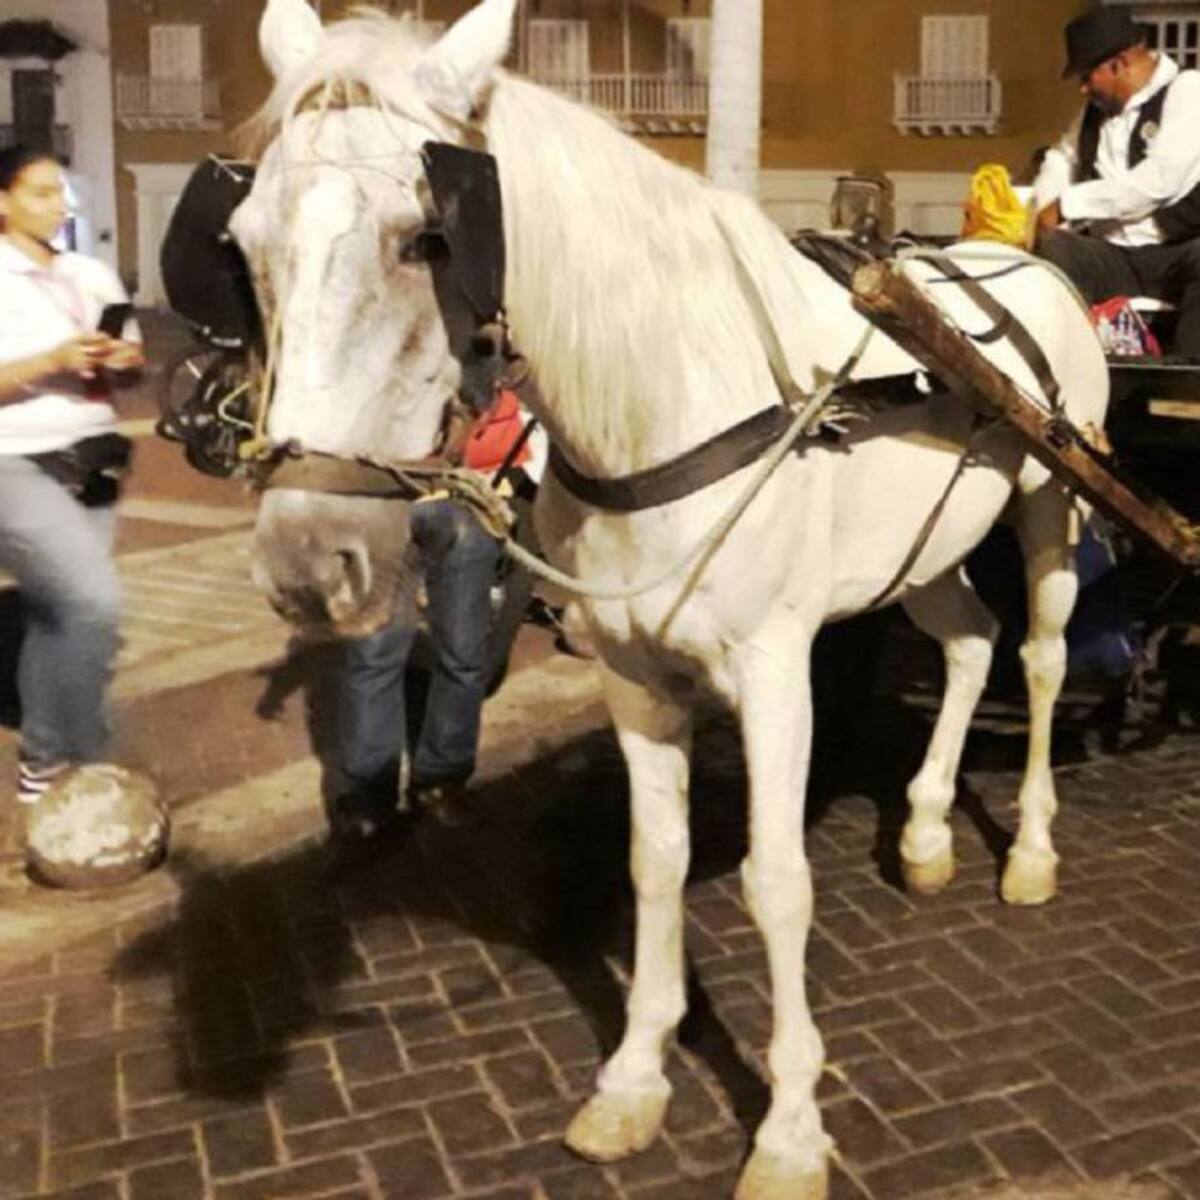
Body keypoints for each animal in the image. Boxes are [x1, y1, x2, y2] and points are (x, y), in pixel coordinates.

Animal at [237, 2, 1108, 1196]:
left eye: (426, 240)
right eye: (245, 242)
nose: (304, 561)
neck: (674, 397)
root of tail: (1020, 262)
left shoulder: (777, 673)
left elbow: (778, 883)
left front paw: (788, 1125)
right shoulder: (635, 676)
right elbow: (656, 863)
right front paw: (637, 1075)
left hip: (1050, 506)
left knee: (1041, 657)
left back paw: (1028, 850)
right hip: (927, 552)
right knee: (973, 645)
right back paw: (929, 825)